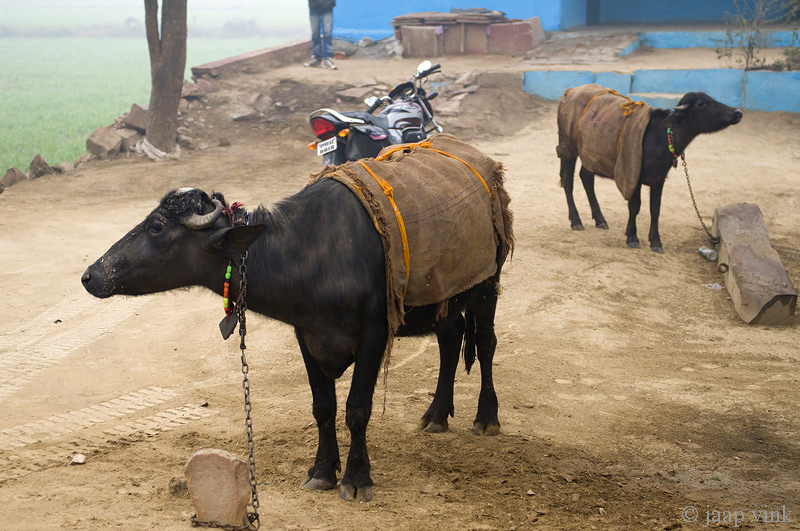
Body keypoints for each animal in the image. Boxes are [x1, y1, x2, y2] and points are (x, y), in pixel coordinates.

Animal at [81, 184, 506, 502]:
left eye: (155, 227)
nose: (90, 275)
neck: (310, 254)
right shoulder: (307, 337)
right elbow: (323, 408)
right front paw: (322, 471)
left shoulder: (374, 336)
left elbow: (356, 410)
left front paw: (356, 478)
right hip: (446, 298)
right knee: (451, 337)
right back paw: (436, 414)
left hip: (488, 283)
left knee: (485, 342)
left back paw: (486, 417)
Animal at [560, 87, 740, 251]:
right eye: (701, 103)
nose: (737, 112)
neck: (660, 136)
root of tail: (570, 91)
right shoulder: (633, 176)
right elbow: (635, 206)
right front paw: (632, 237)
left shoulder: (659, 180)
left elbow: (655, 209)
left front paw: (656, 241)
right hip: (568, 148)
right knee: (568, 181)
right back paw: (576, 221)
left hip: (590, 156)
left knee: (586, 177)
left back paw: (600, 219)